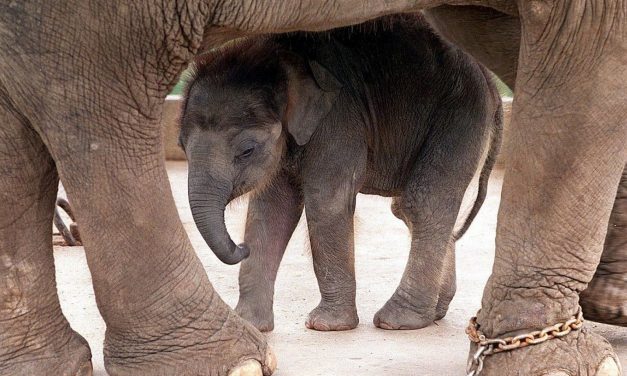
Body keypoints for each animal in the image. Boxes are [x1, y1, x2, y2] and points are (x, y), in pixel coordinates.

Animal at [179, 14, 502, 332]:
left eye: (247, 150)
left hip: (459, 115)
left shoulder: (339, 121)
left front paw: (326, 325)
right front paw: (250, 324)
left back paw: (397, 321)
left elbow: (325, 203)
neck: (281, 62)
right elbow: (270, 209)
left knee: (421, 205)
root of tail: (490, 81)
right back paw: (435, 312)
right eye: (181, 145)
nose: (240, 247)